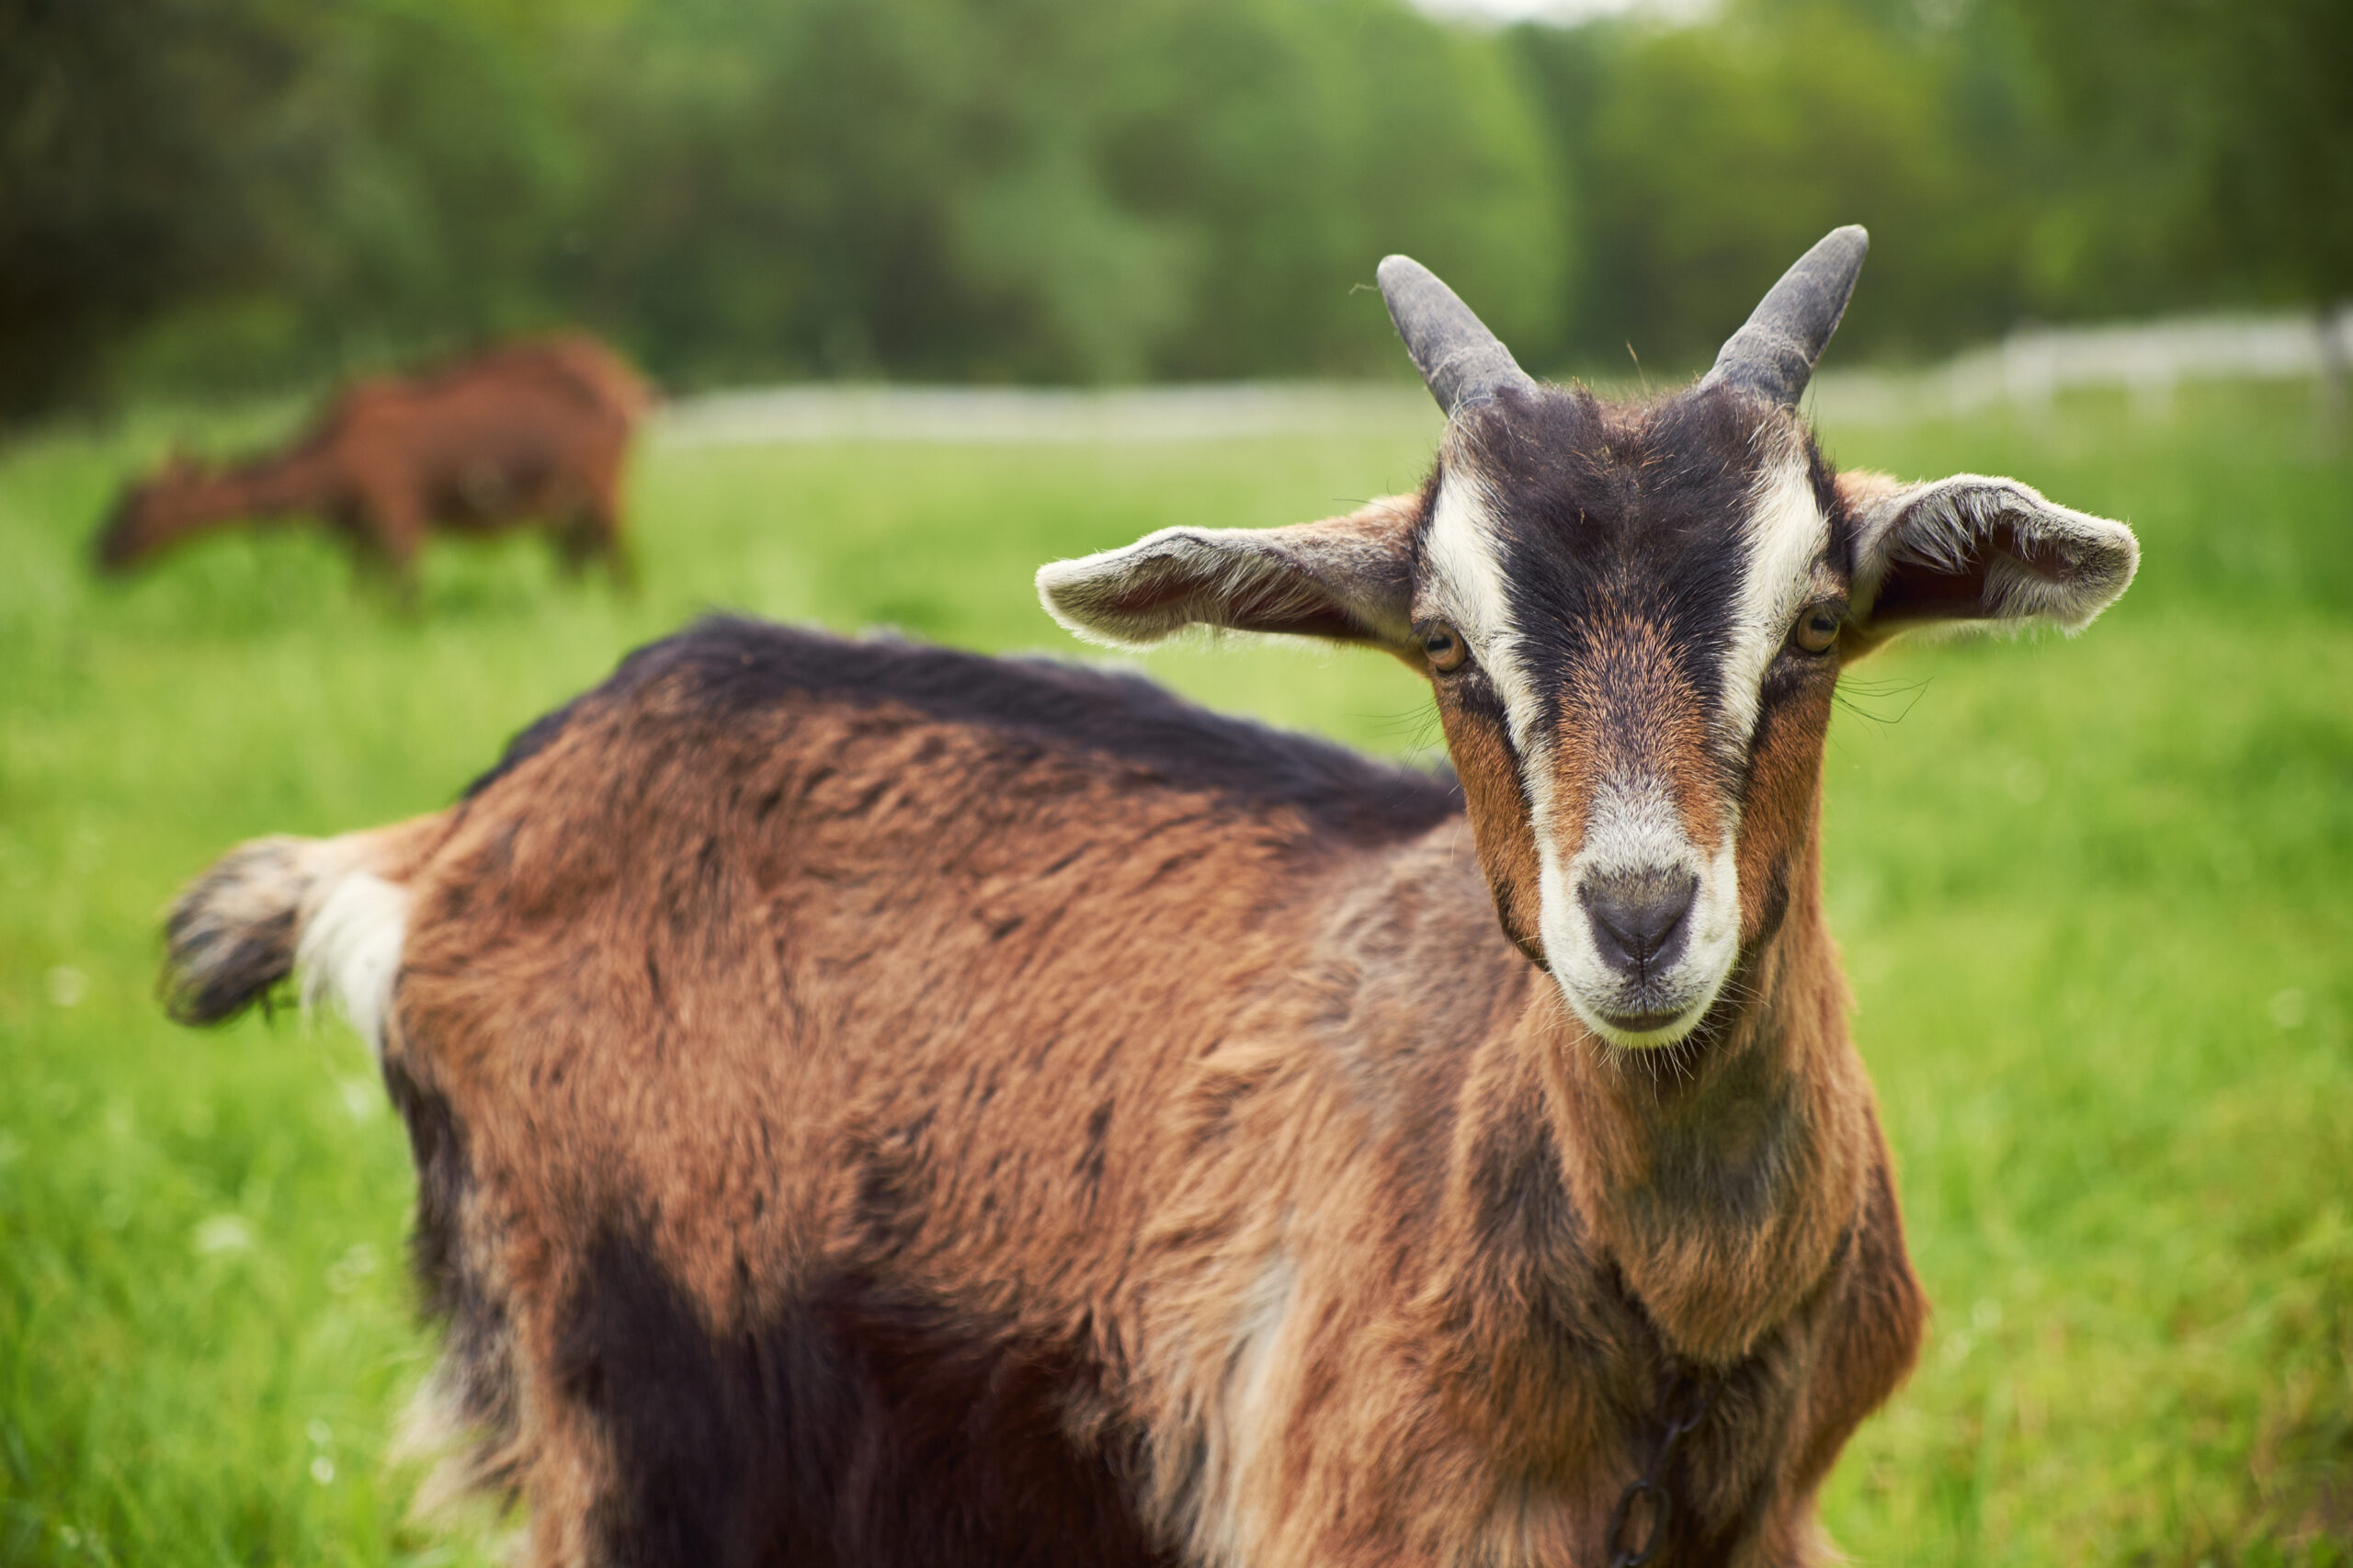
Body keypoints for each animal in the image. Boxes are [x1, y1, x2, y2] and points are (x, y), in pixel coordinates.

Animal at [96, 333, 651, 593]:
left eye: (137, 501)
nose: (96, 552)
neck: (326, 469)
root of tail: (628, 384)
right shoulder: (359, 535)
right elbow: (364, 598)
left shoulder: (397, 515)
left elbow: (405, 597)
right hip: (568, 504)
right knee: (578, 562)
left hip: (603, 487)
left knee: (620, 564)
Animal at [159, 228, 2137, 1567]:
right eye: (1443, 642)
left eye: (1814, 625)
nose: (1639, 918)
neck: (1673, 1321)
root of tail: (447, 839)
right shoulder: (1352, 1505)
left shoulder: (1771, 1512)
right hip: (629, 1407)